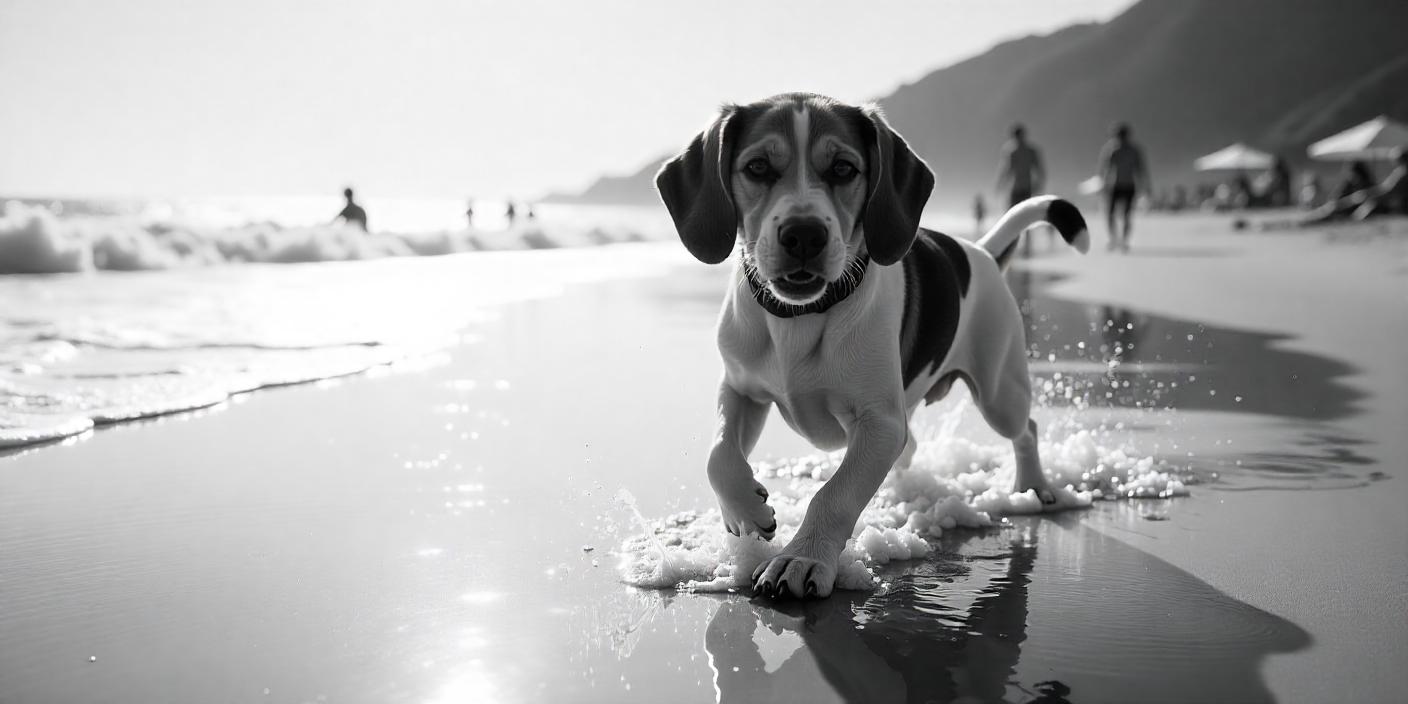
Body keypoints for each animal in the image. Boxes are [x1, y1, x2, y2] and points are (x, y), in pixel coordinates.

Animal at [656, 93, 1086, 599]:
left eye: (843, 168)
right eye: (758, 166)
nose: (804, 233)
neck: (802, 315)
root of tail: (980, 251)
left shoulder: (880, 423)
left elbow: (835, 495)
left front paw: (802, 558)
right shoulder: (740, 390)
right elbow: (719, 455)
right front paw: (743, 508)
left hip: (1000, 393)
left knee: (1027, 429)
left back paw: (1034, 486)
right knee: (920, 444)